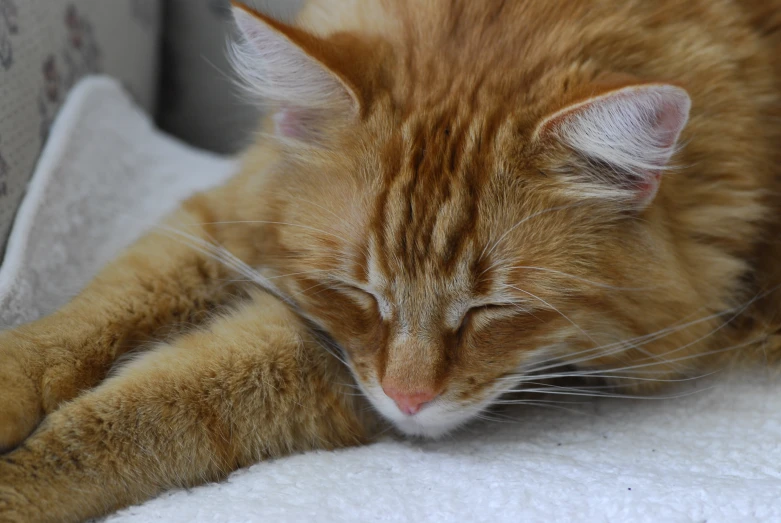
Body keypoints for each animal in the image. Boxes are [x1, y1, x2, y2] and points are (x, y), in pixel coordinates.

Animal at [1, 1, 780, 520]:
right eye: (357, 291)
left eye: (495, 309)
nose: (410, 400)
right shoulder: (231, 215)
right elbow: (100, 308)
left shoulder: (321, 361)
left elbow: (148, 407)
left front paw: (18, 485)